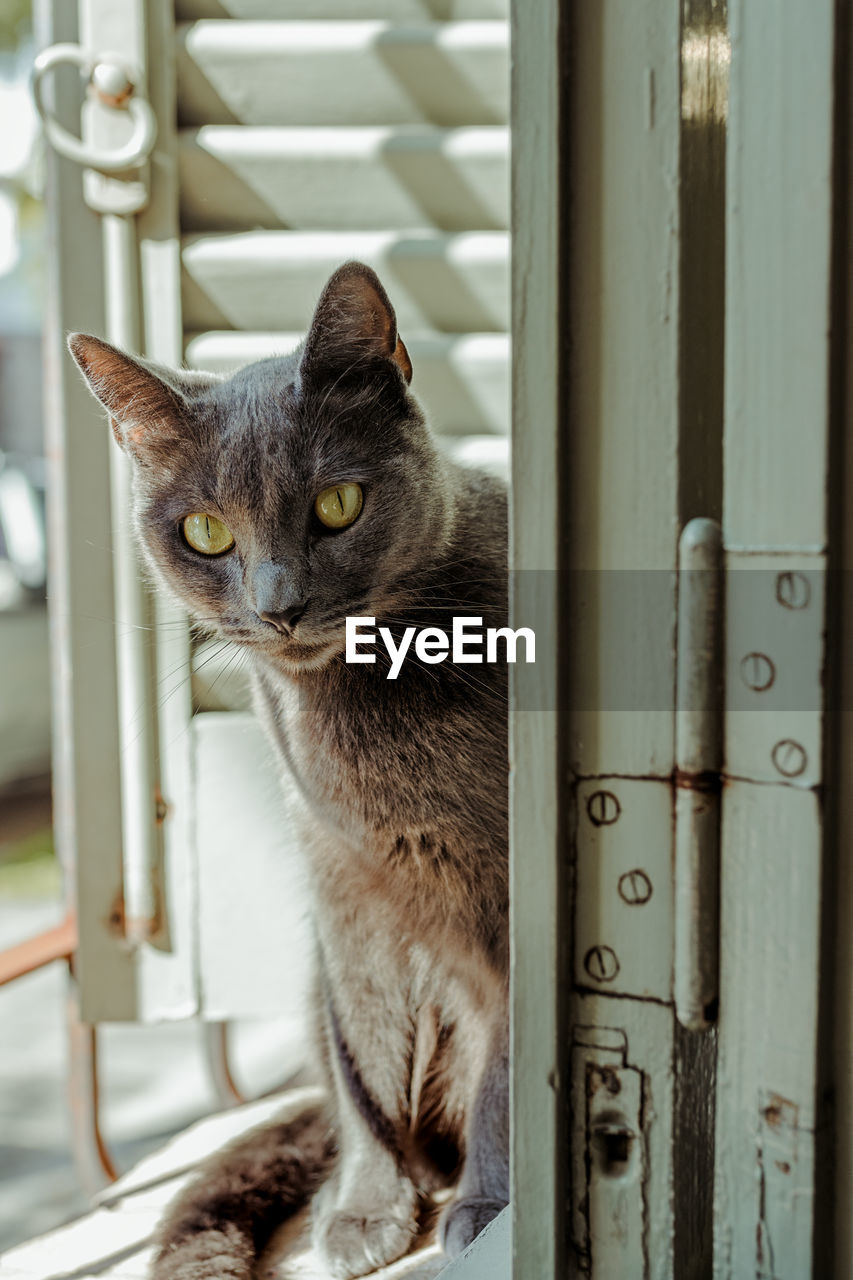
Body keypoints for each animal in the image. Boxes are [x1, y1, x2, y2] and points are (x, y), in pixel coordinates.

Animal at [69, 262, 507, 1280]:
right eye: (205, 530)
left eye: (337, 505)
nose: (279, 605)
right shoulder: (342, 879)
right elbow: (364, 1058)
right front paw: (365, 1206)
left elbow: (503, 1060)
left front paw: (491, 1207)